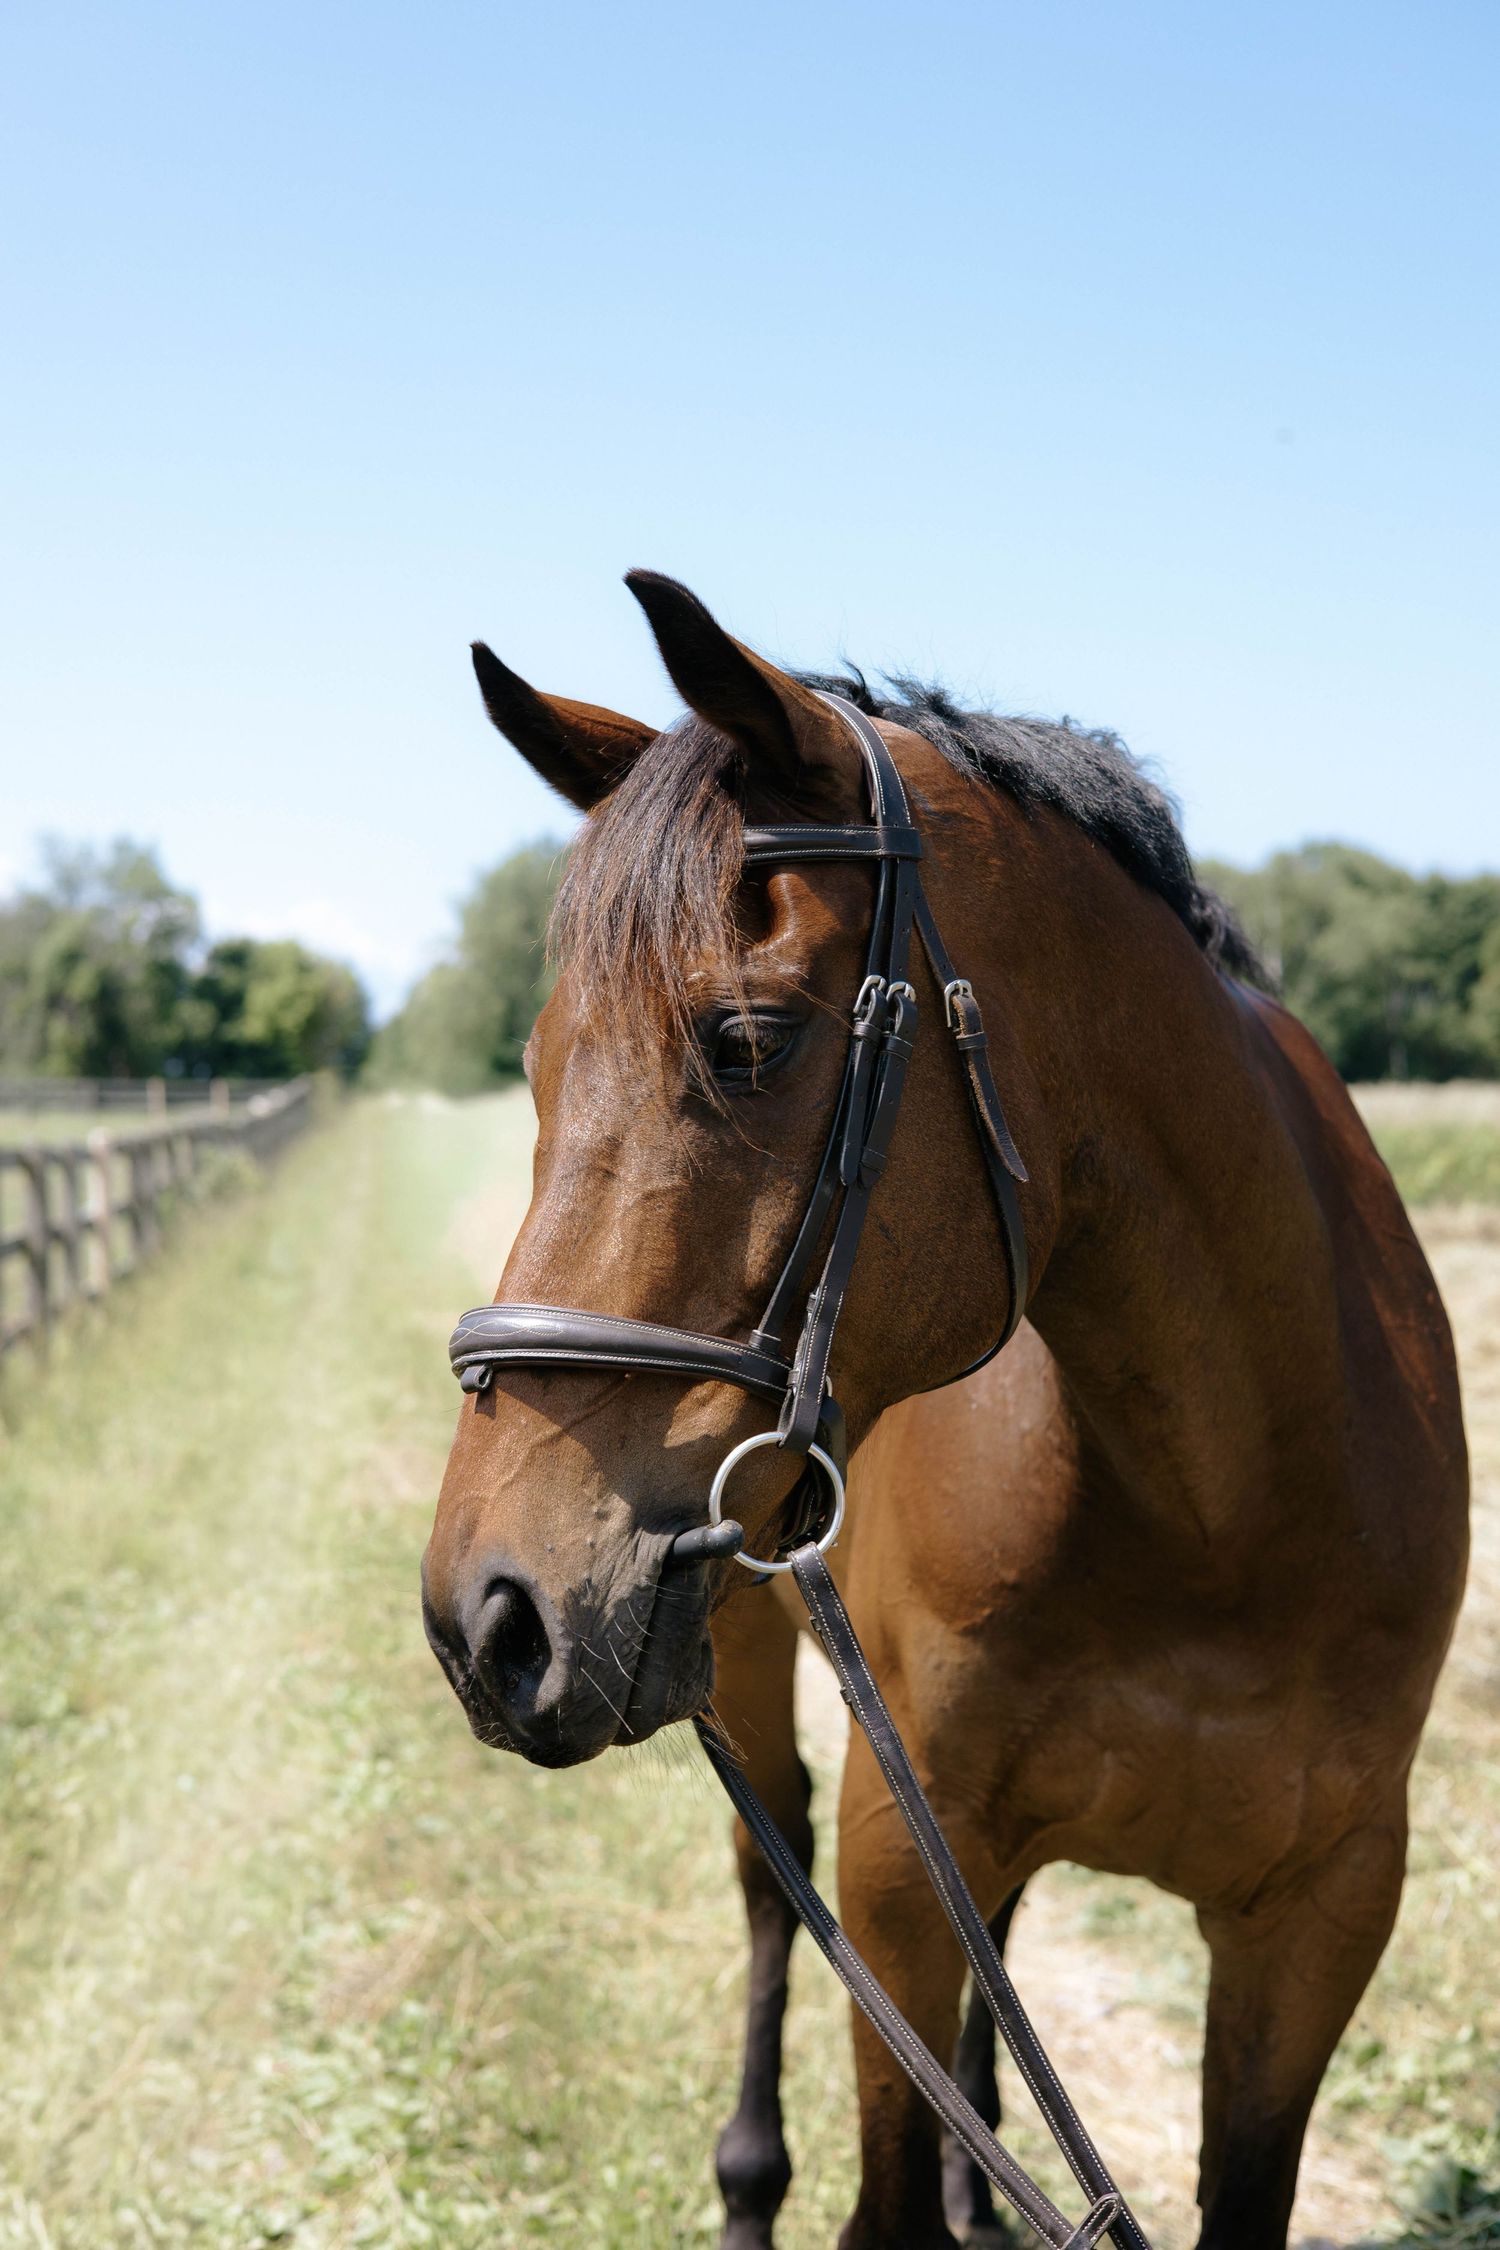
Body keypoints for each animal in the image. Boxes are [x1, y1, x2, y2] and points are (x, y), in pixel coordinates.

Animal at [421, 571, 1469, 2249]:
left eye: (747, 1040)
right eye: (534, 1066)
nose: (486, 1613)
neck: (1225, 1506)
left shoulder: (1320, 1916)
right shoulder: (899, 1868)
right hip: (750, 1648)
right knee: (765, 1877)